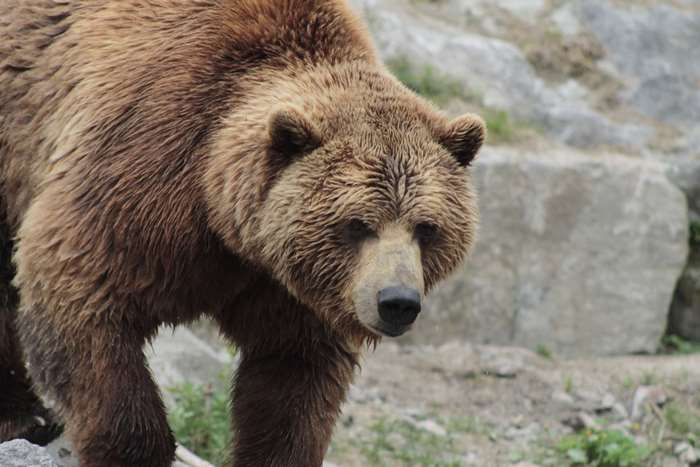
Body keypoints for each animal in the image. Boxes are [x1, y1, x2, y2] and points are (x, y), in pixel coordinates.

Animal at [0, 0, 485, 466]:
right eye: (357, 223)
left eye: (427, 228)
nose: (397, 301)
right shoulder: (140, 176)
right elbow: (81, 293)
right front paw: (136, 448)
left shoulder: (291, 287)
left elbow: (290, 381)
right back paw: (25, 417)